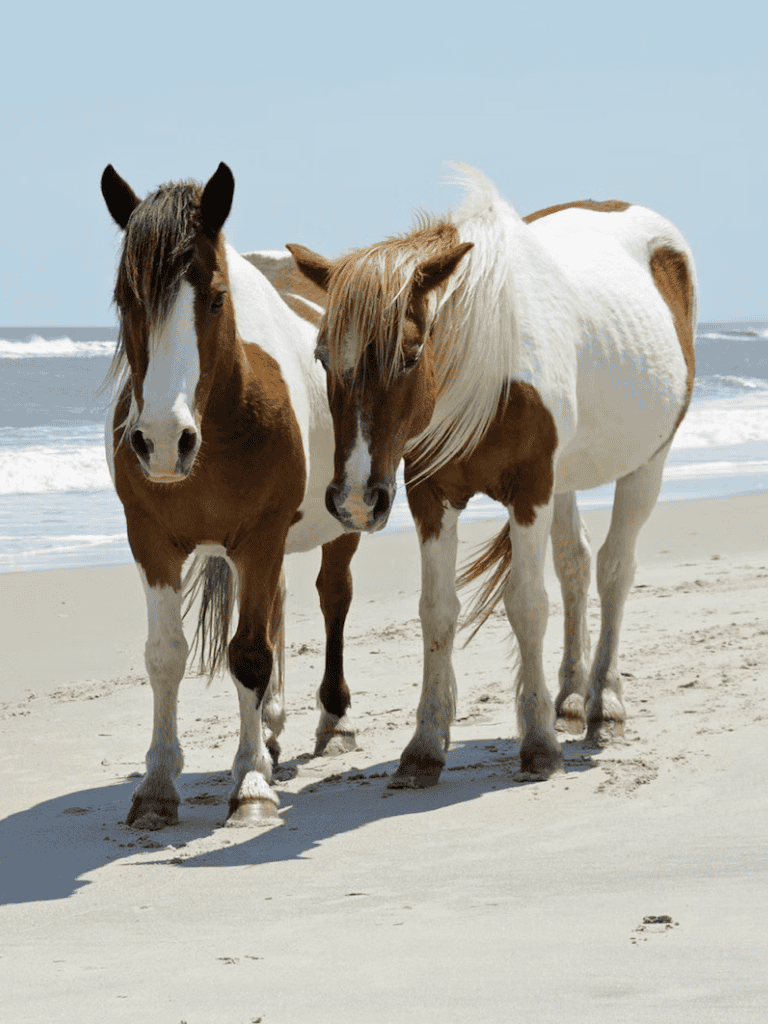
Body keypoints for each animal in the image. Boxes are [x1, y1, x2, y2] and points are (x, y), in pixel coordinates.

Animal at [100, 162, 360, 826]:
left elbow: (249, 656)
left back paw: (333, 722)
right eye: (125, 298)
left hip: (341, 522)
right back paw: (269, 726)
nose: (163, 442)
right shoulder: (151, 542)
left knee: (332, 599)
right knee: (275, 610)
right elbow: (166, 654)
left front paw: (250, 785)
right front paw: (157, 786)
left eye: (217, 297)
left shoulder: (261, 535)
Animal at [287, 166, 697, 787]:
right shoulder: (430, 496)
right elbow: (437, 610)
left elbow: (526, 603)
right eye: (321, 356)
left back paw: (604, 705)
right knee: (576, 566)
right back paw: (571, 697)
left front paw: (538, 745)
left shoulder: (529, 490)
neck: (486, 367)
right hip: (566, 480)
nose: (356, 499)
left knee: (614, 571)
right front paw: (424, 747)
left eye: (410, 354)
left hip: (648, 463)